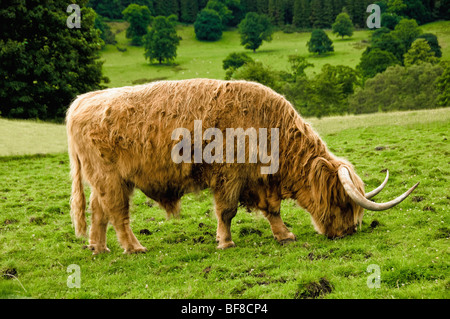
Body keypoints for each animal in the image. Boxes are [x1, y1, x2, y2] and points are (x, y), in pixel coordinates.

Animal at [66, 79, 418, 255]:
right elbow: (227, 211)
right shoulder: (229, 177)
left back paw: (99, 248)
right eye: (343, 201)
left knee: (99, 211)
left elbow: (272, 210)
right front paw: (226, 242)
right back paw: (134, 247)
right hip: (111, 178)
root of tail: (82, 101)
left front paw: (284, 235)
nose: (348, 232)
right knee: (117, 214)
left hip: (103, 180)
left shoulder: (260, 181)